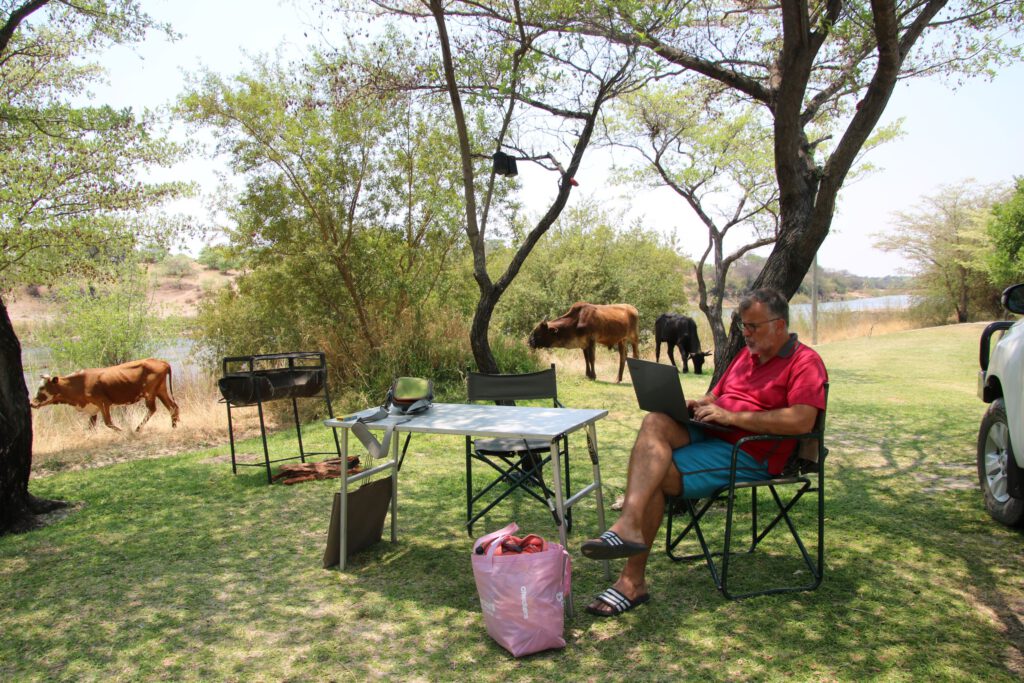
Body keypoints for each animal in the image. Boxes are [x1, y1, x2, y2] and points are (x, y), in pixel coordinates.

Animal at [30, 358, 180, 432]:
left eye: (42, 387)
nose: (32, 403)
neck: (80, 383)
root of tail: (161, 362)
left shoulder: (103, 403)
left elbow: (108, 423)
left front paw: (125, 432)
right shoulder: (92, 409)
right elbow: (90, 428)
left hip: (149, 393)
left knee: (152, 409)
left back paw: (137, 429)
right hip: (160, 390)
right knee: (173, 407)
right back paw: (173, 427)